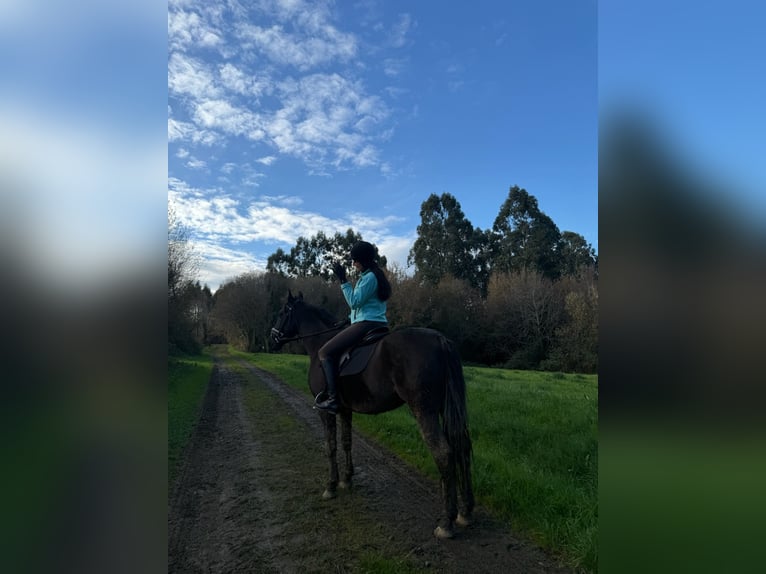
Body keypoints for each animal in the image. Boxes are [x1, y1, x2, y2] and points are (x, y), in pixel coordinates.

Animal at [270, 290, 474, 538]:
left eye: (282, 312)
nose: (272, 339)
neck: (320, 346)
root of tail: (440, 340)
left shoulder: (326, 412)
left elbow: (330, 446)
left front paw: (331, 485)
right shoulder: (345, 409)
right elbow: (346, 442)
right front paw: (347, 479)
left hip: (425, 411)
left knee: (444, 453)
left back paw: (447, 521)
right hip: (446, 409)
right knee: (462, 446)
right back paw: (465, 511)